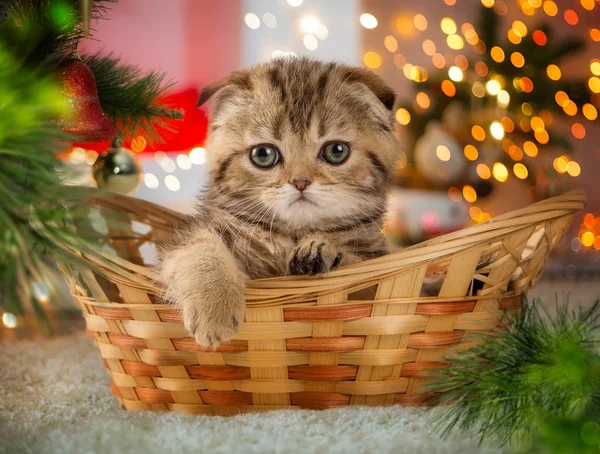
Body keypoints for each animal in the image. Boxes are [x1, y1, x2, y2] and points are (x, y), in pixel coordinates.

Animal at [161, 56, 398, 348]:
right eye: (263, 154)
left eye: (336, 151)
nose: (300, 182)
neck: (291, 234)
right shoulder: (192, 235)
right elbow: (198, 249)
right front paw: (213, 311)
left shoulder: (378, 259)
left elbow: (362, 271)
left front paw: (324, 250)